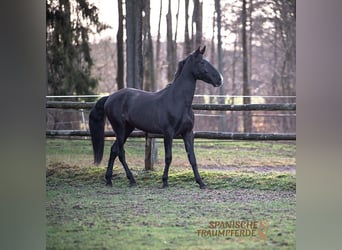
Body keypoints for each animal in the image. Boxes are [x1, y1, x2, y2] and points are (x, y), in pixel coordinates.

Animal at [89, 46, 222, 188]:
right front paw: (165, 182)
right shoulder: (168, 133)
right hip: (119, 129)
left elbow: (192, 158)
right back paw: (131, 180)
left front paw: (201, 183)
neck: (178, 101)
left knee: (114, 150)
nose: (220, 79)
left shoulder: (188, 133)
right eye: (202, 62)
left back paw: (109, 180)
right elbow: (168, 157)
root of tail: (109, 97)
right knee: (121, 153)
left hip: (127, 129)